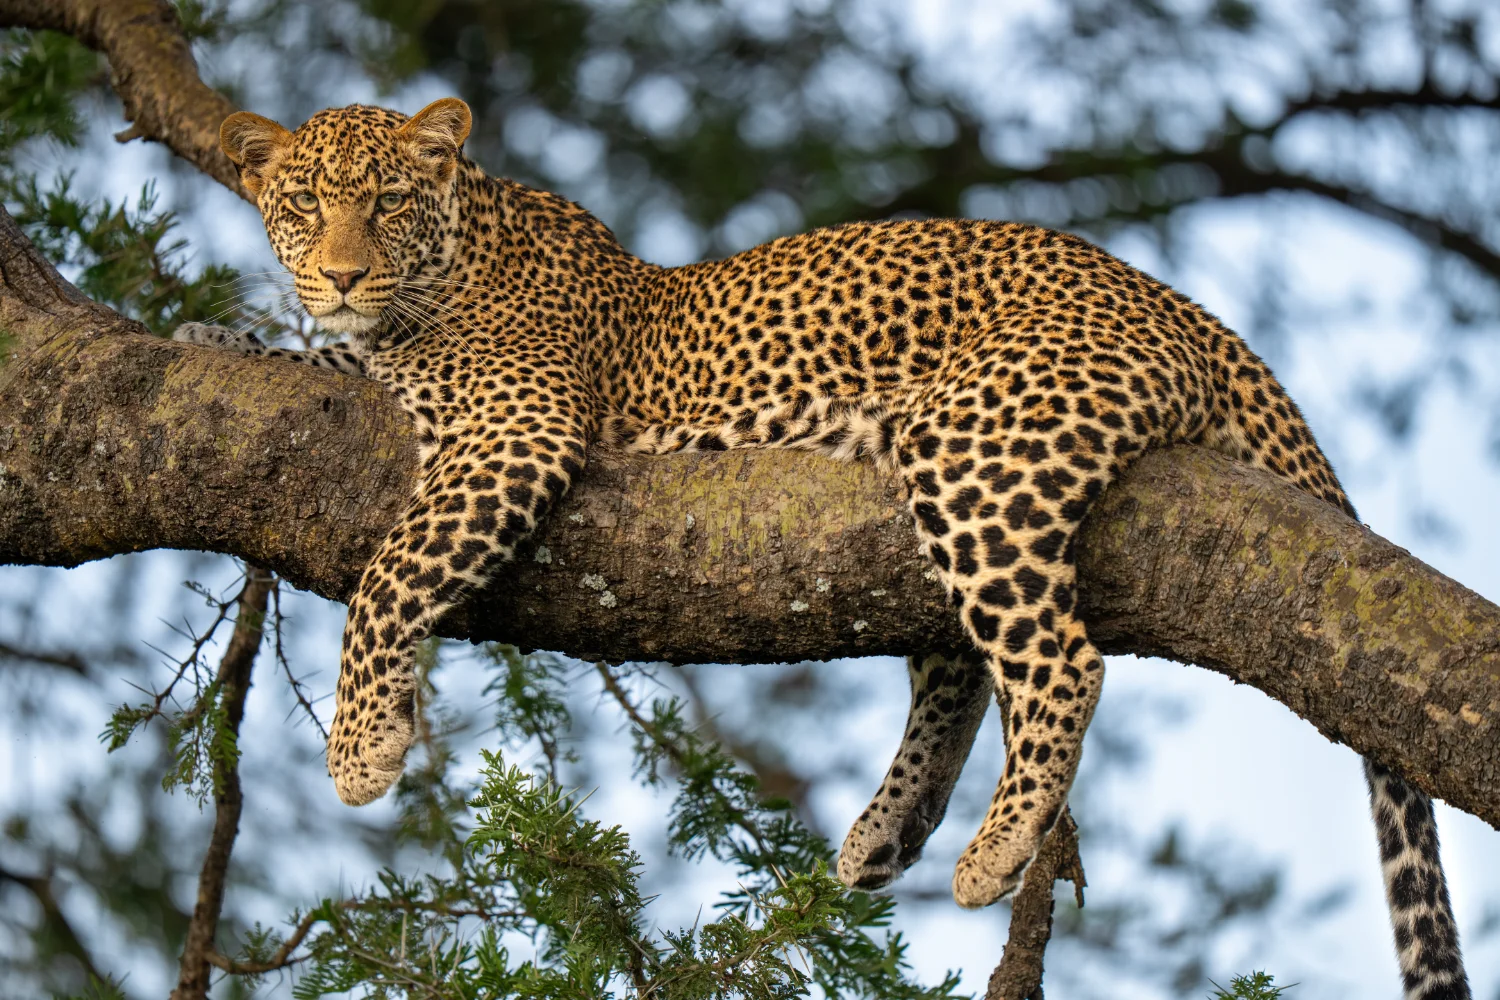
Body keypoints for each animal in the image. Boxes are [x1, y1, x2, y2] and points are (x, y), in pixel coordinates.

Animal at [173, 98, 1470, 999]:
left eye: (390, 200)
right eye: (303, 203)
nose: (342, 271)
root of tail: (1180, 303)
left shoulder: (517, 428)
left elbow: (391, 571)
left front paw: (360, 746)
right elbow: (308, 359)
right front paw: (213, 333)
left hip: (980, 439)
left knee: (1060, 659)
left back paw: (994, 850)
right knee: (959, 663)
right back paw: (888, 833)